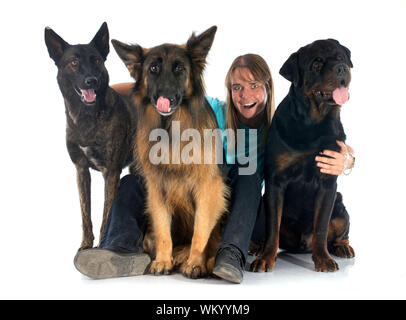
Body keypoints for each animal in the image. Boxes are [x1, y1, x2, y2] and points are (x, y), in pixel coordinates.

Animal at [45, 23, 136, 251]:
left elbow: (107, 212)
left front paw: (102, 244)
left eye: (96, 60)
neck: (87, 118)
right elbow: (85, 211)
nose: (91, 81)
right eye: (74, 63)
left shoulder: (111, 172)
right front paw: (85, 244)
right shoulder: (80, 169)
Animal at [112, 26, 230, 278]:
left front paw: (195, 263)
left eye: (179, 68)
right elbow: (163, 232)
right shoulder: (156, 189)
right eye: (153, 68)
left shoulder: (208, 187)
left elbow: (201, 230)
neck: (171, 130)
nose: (165, 96)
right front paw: (163, 261)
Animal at [252, 38, 354, 272]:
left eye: (341, 57)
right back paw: (257, 246)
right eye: (316, 64)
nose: (341, 68)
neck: (313, 123)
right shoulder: (276, 181)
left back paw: (343, 247)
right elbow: (273, 228)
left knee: (339, 232)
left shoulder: (328, 182)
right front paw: (265, 258)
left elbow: (321, 227)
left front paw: (324, 259)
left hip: (340, 204)